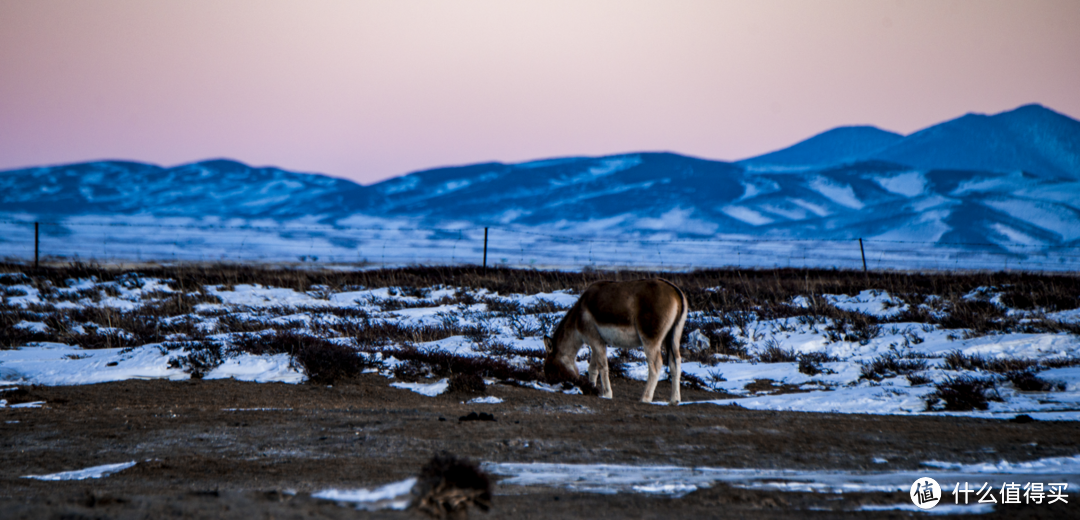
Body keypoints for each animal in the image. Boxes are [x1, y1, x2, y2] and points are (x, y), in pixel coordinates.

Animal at [544, 276, 686, 404]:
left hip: (650, 339)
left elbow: (602, 366)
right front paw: (591, 388)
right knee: (675, 363)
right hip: (672, 338)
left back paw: (645, 398)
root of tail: (675, 292)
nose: (552, 384)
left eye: (549, 366)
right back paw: (675, 399)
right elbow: (593, 368)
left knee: (656, 365)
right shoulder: (597, 343)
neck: (578, 314)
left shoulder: (595, 340)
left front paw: (607, 394)